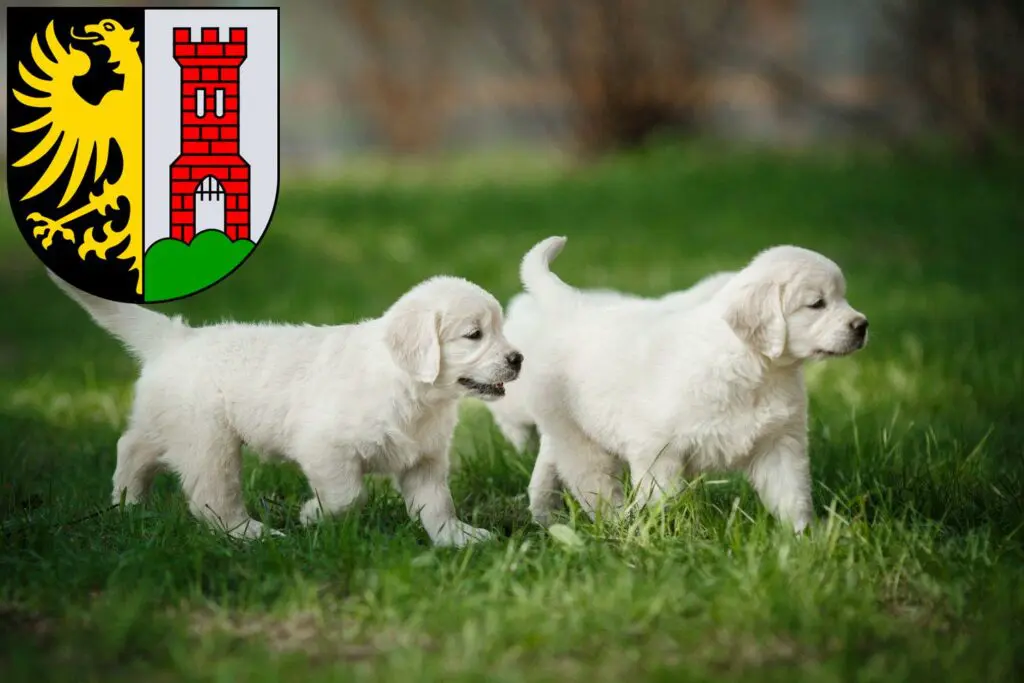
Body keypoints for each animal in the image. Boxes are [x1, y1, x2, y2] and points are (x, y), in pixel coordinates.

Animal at [49, 270, 520, 544]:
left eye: (500, 329)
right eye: (474, 335)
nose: (518, 359)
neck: (415, 391)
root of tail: (177, 338)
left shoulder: (423, 459)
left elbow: (437, 503)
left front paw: (457, 537)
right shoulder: (326, 448)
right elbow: (348, 495)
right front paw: (313, 515)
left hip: (166, 422)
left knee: (131, 447)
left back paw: (128, 505)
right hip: (209, 440)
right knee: (210, 497)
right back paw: (252, 533)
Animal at [520, 237, 864, 532]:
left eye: (842, 297)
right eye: (817, 303)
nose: (862, 325)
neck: (756, 368)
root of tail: (572, 304)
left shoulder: (780, 442)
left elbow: (792, 496)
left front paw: (804, 537)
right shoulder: (658, 450)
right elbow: (663, 500)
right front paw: (668, 534)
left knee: (549, 465)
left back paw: (545, 516)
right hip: (577, 436)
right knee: (592, 482)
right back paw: (615, 524)